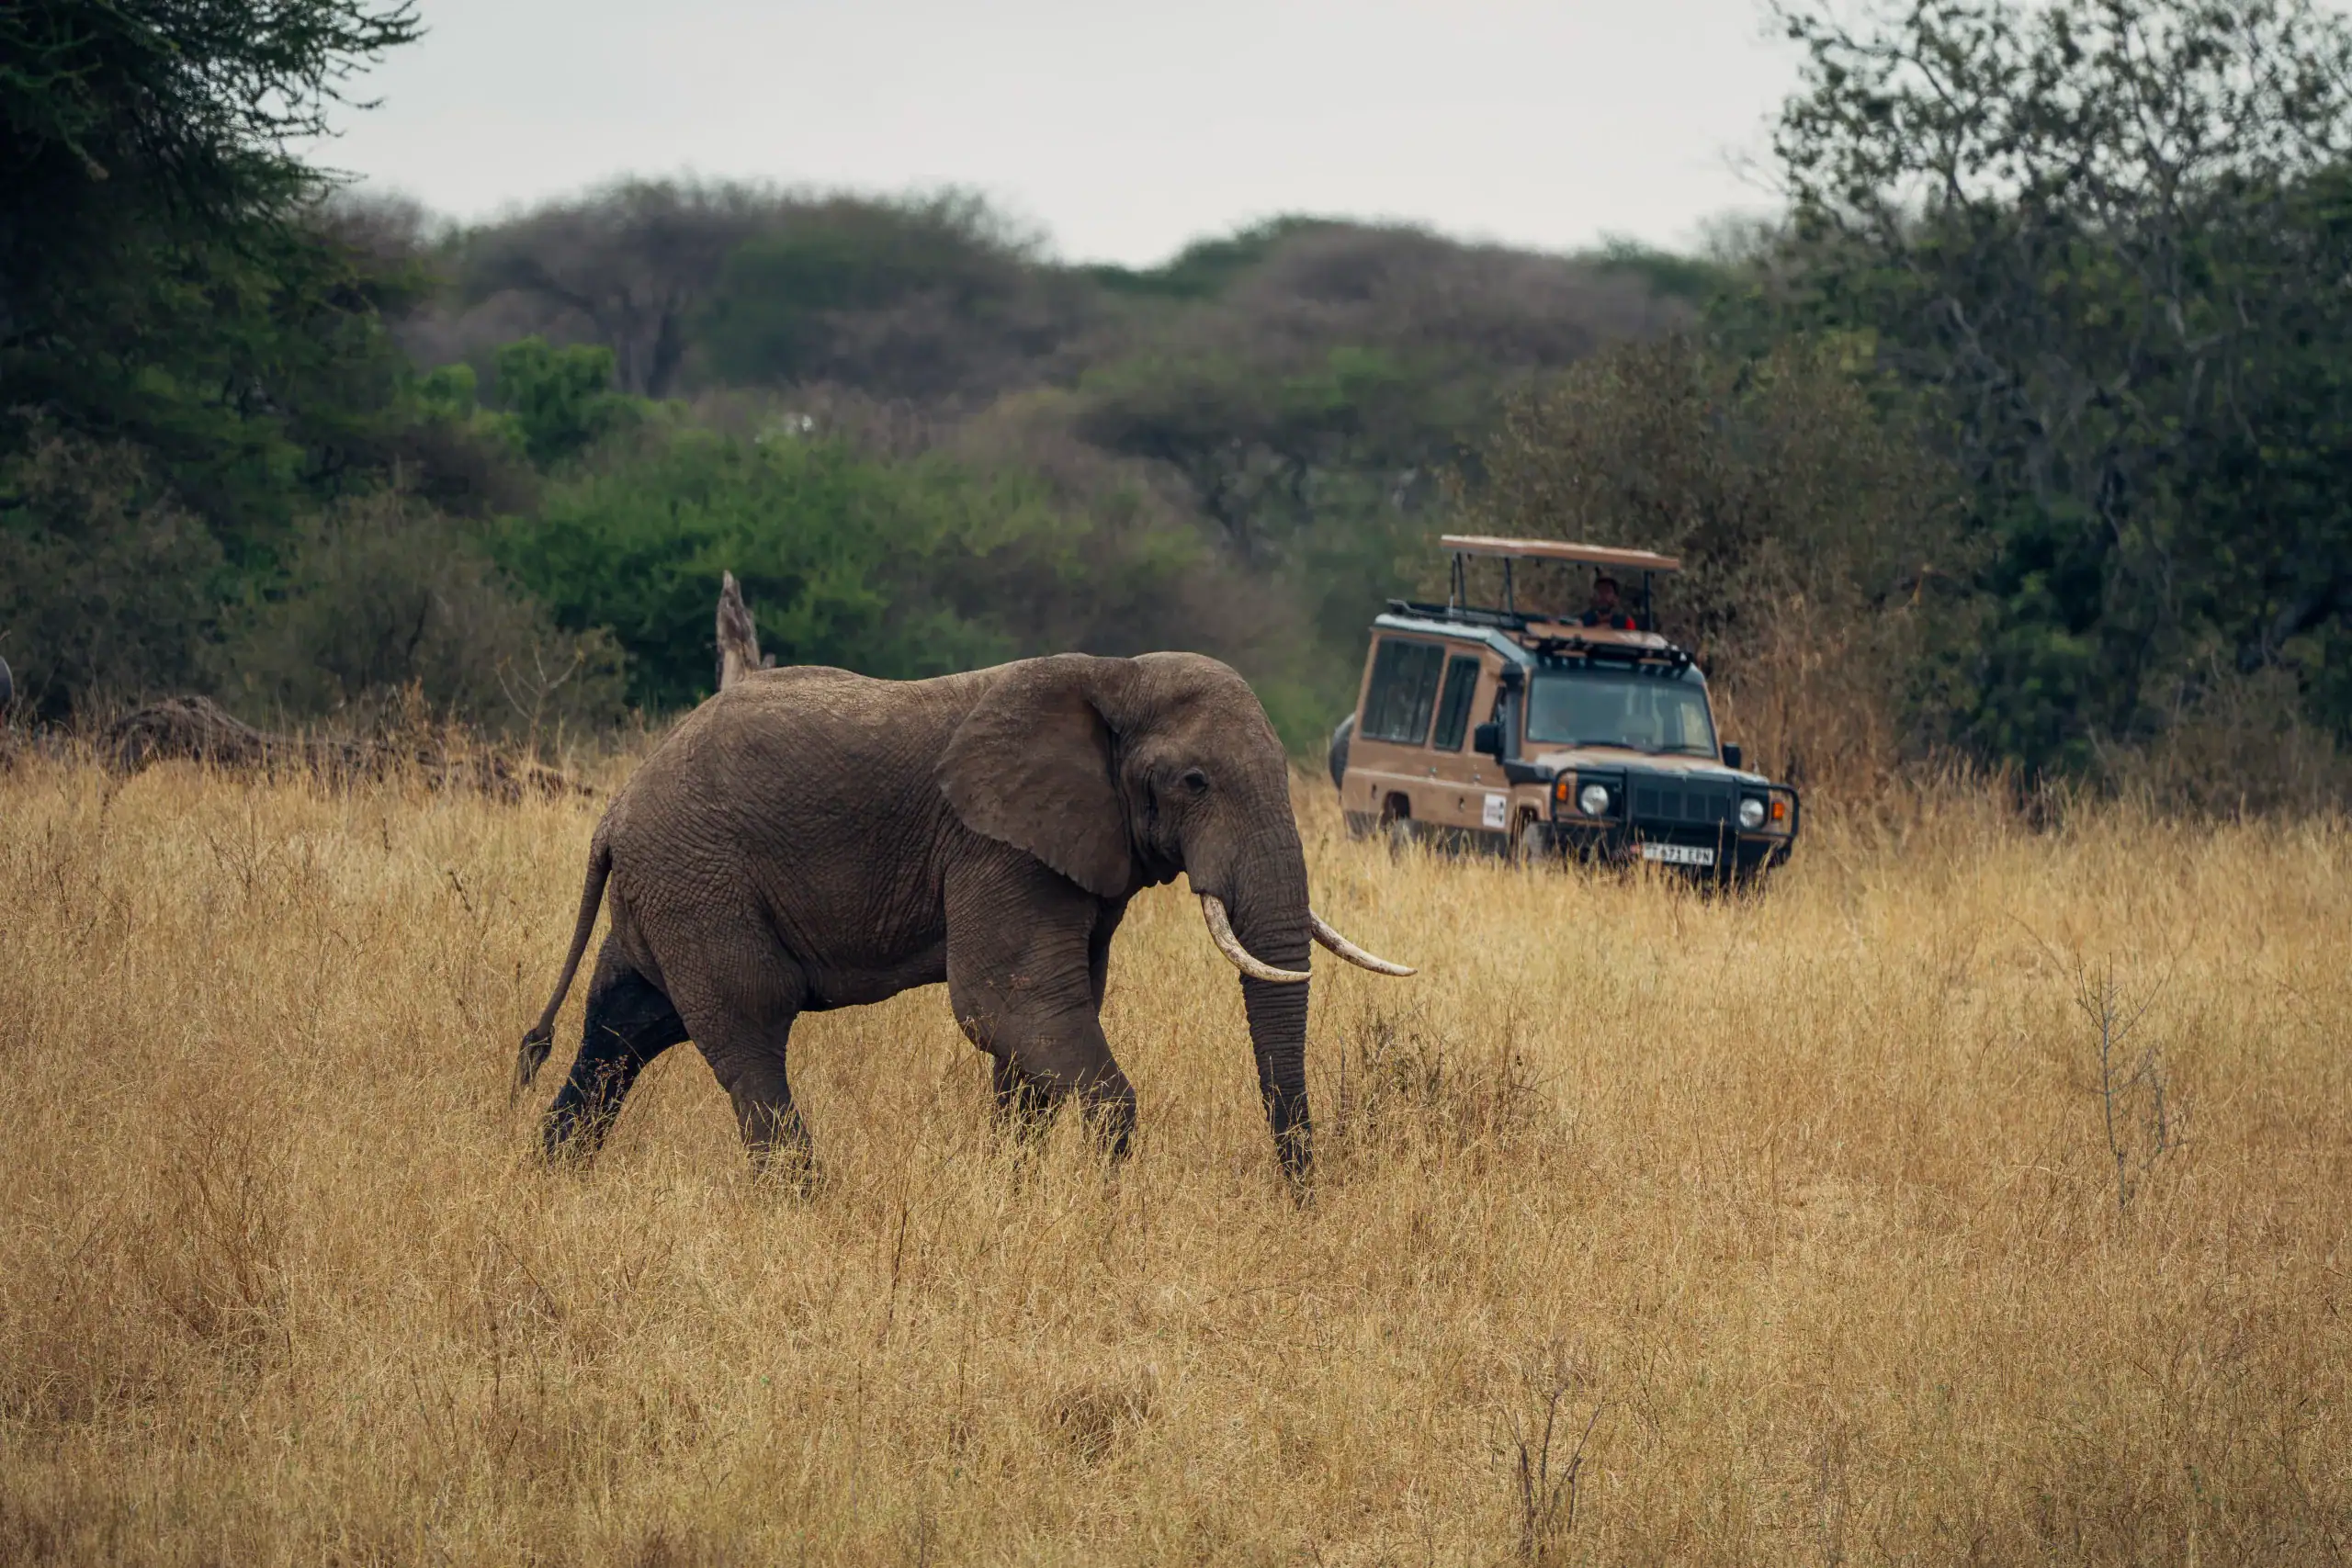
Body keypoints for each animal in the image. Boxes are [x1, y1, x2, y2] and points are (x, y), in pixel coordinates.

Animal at [513, 651, 1411, 1183]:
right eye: (1195, 782)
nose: (1299, 1195)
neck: (1112, 673)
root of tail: (614, 811)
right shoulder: (996, 845)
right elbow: (1005, 1004)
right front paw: (1106, 1189)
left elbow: (1043, 1017)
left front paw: (1014, 1184)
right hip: (701, 883)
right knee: (746, 1027)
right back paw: (801, 1197)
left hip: (668, 889)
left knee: (625, 1022)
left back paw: (551, 1175)